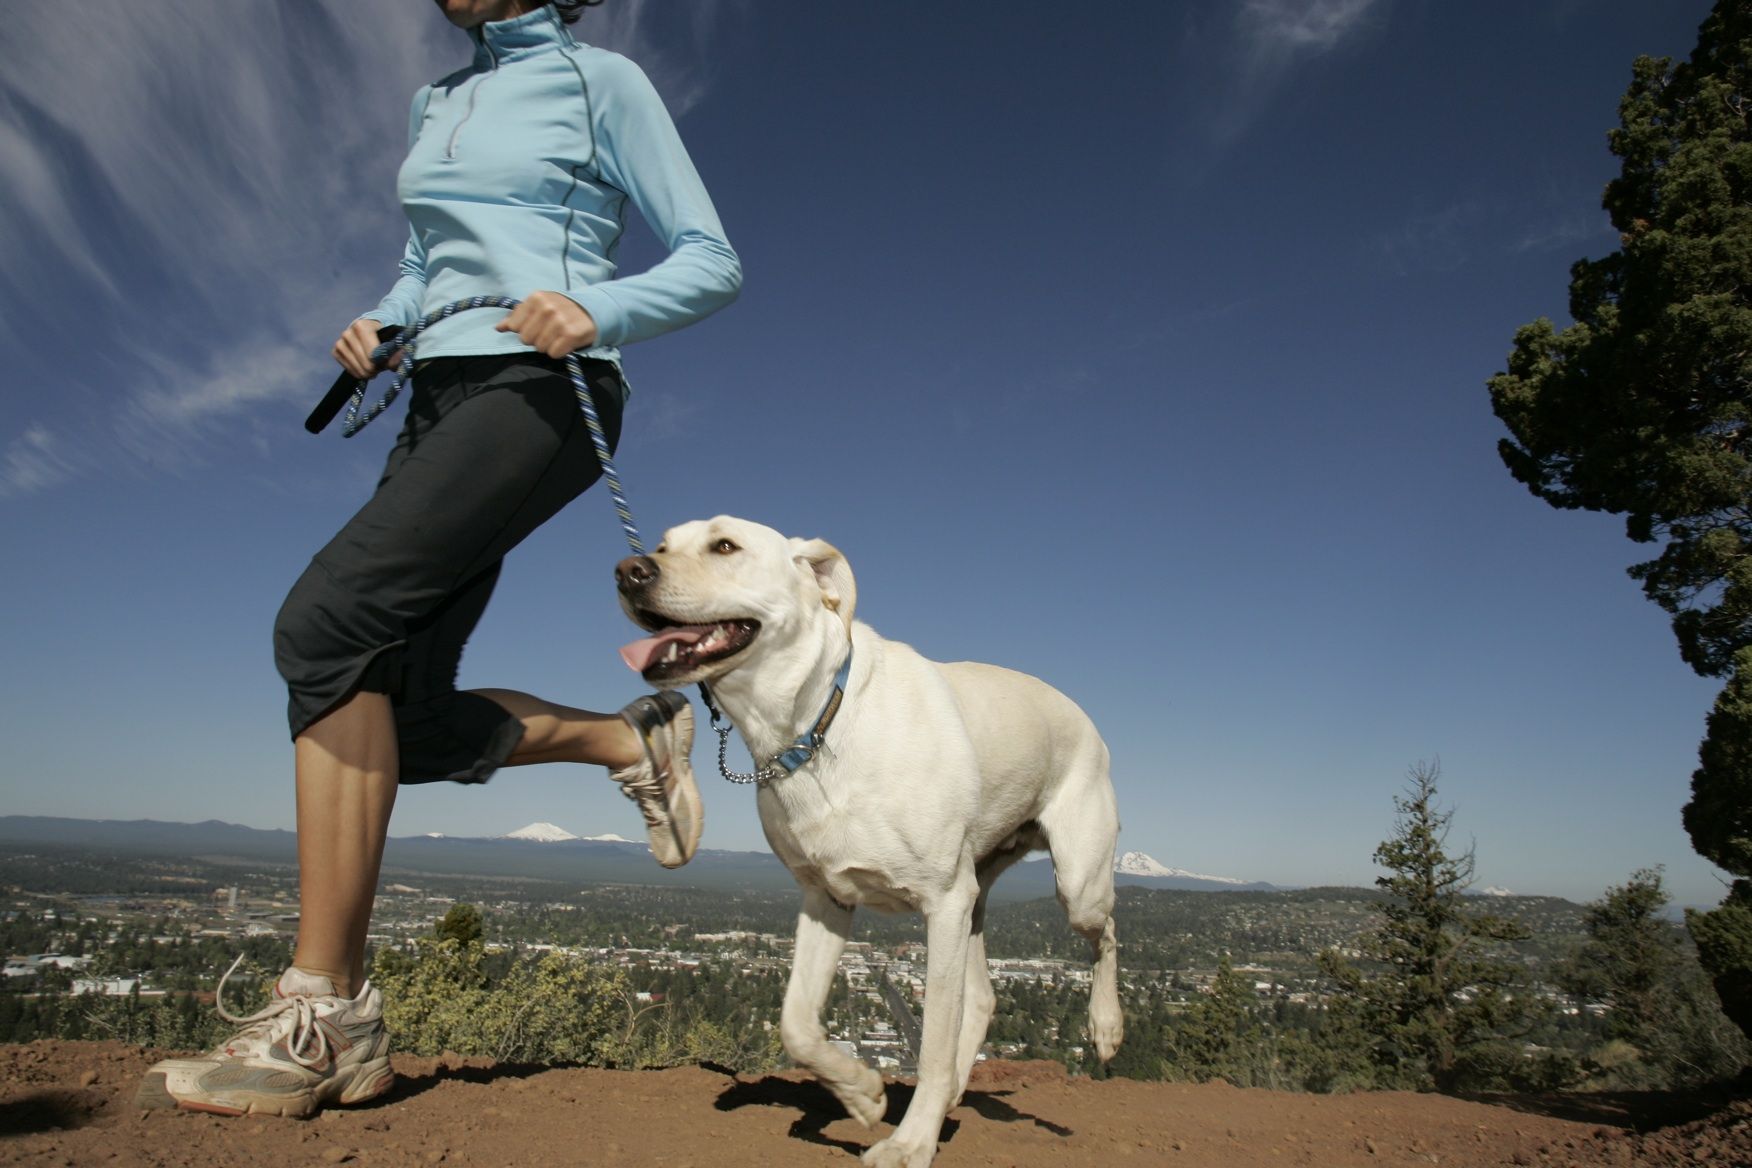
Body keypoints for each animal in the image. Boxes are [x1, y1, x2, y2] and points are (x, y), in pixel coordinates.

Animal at [616, 521, 1121, 1168]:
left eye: (725, 546)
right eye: (660, 545)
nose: (628, 572)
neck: (814, 725)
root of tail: (1080, 712)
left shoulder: (942, 902)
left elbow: (931, 1045)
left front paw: (910, 1142)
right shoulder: (827, 898)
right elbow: (796, 1023)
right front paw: (862, 1093)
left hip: (1073, 883)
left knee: (1105, 932)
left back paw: (1105, 1028)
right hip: (976, 896)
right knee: (984, 998)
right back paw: (952, 1094)